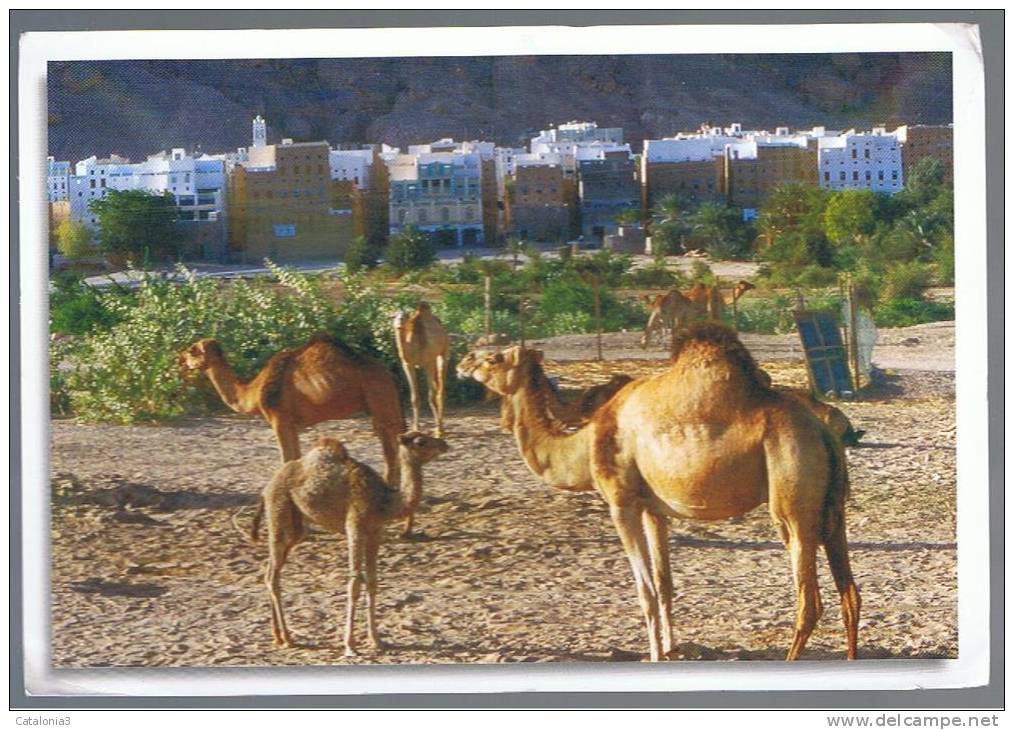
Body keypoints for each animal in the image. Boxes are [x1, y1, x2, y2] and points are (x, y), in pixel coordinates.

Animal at [249, 429, 448, 652]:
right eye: (421, 442)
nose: (444, 444)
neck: (384, 502)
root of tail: (266, 488)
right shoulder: (355, 528)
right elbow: (354, 583)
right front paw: (350, 643)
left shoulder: (375, 533)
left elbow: (372, 582)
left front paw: (376, 639)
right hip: (279, 511)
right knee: (272, 576)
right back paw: (287, 638)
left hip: (295, 528)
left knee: (271, 571)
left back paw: (278, 636)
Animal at [391, 304, 448, 440]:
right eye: (394, 316)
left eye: (405, 316)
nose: (399, 322)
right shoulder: (408, 365)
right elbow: (415, 398)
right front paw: (415, 429)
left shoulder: (428, 363)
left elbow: (431, 396)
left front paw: (439, 431)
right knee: (436, 387)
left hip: (443, 354)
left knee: (440, 390)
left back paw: (440, 428)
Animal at [462, 324, 863, 661]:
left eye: (495, 357)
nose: (465, 361)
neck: (585, 444)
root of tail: (823, 433)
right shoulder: (653, 509)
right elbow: (664, 583)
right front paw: (671, 649)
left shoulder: (621, 503)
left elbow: (645, 590)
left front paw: (655, 654)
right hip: (833, 511)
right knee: (850, 595)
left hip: (791, 495)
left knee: (809, 601)